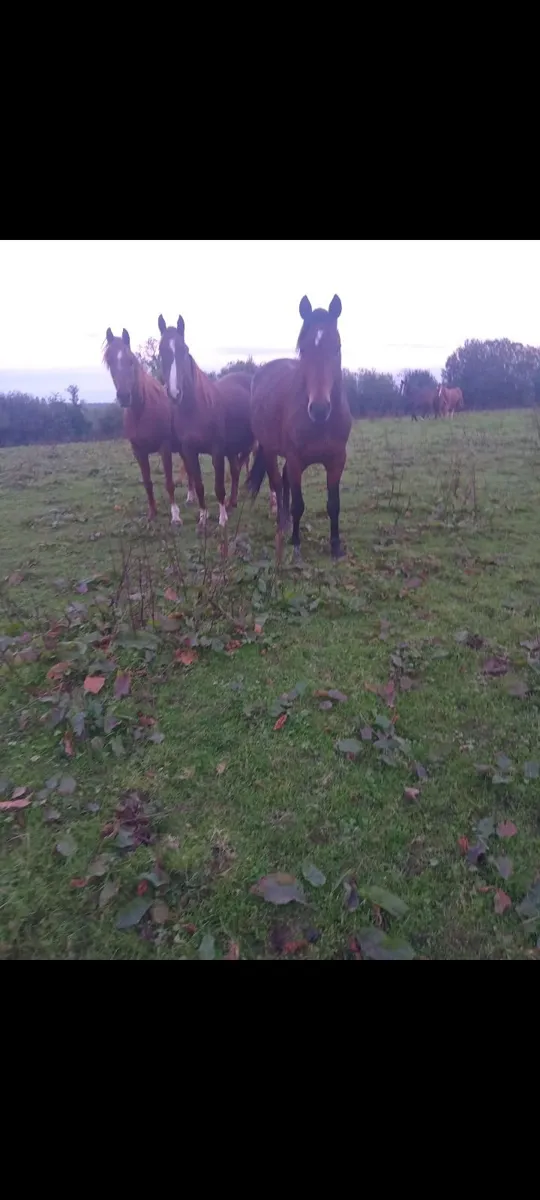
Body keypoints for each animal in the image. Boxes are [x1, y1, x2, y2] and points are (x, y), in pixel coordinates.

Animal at [103, 327, 184, 524]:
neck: (141, 411)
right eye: (110, 362)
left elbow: (169, 482)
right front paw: (152, 513)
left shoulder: (165, 447)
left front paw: (175, 516)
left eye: (130, 361)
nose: (124, 396)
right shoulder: (138, 451)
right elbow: (147, 482)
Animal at [157, 314, 254, 528]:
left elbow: (218, 486)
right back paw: (232, 503)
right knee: (236, 470)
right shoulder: (189, 451)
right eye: (161, 350)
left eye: (184, 349)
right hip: (232, 448)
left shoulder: (216, 451)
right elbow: (199, 485)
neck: (196, 409)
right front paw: (202, 518)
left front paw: (222, 519)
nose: (174, 393)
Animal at [247, 294, 351, 561]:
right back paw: (282, 524)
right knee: (277, 481)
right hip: (270, 451)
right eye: (303, 349)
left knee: (283, 481)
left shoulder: (337, 460)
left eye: (337, 347)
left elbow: (334, 504)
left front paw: (336, 546)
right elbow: (298, 504)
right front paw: (295, 545)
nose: (320, 409)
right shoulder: (295, 459)